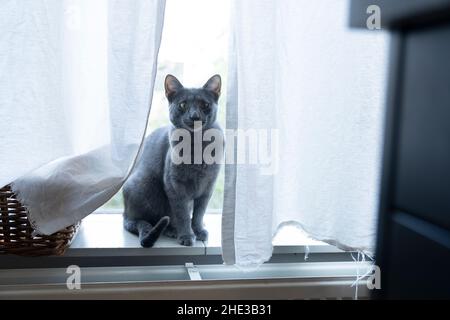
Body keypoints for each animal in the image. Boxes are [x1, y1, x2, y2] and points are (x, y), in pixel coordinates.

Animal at [123, 74, 223, 248]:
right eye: (183, 104)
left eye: (205, 104)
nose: (194, 116)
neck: (197, 147)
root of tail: (123, 213)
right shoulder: (175, 186)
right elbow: (181, 213)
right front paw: (187, 235)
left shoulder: (208, 186)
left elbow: (199, 212)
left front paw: (198, 230)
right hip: (143, 184)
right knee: (142, 220)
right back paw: (172, 230)